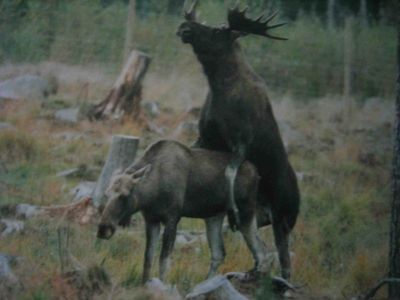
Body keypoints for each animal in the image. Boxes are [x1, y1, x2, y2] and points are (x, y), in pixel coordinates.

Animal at [95, 140, 268, 284]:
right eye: (106, 194)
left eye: (124, 195)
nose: (103, 229)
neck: (151, 193)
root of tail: (257, 172)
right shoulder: (151, 220)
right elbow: (148, 258)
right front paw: (144, 285)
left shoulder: (172, 218)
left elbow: (164, 260)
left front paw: (162, 285)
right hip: (214, 217)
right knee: (219, 253)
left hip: (245, 212)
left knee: (261, 252)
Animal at [178, 1, 300, 280]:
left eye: (217, 31)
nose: (184, 27)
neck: (219, 85)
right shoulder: (205, 138)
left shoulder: (241, 142)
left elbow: (230, 173)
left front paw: (232, 210)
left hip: (284, 220)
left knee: (285, 262)